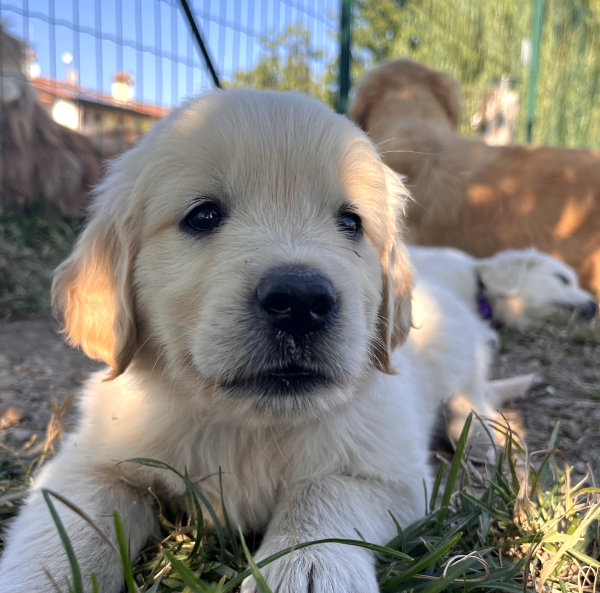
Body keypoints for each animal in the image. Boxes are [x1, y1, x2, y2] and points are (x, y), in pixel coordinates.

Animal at [0, 89, 448, 592]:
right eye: (204, 216)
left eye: (351, 223)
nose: (300, 301)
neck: (245, 427)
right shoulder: (87, 462)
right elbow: (70, 525)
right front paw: (42, 577)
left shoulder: (397, 478)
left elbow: (325, 488)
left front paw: (309, 564)